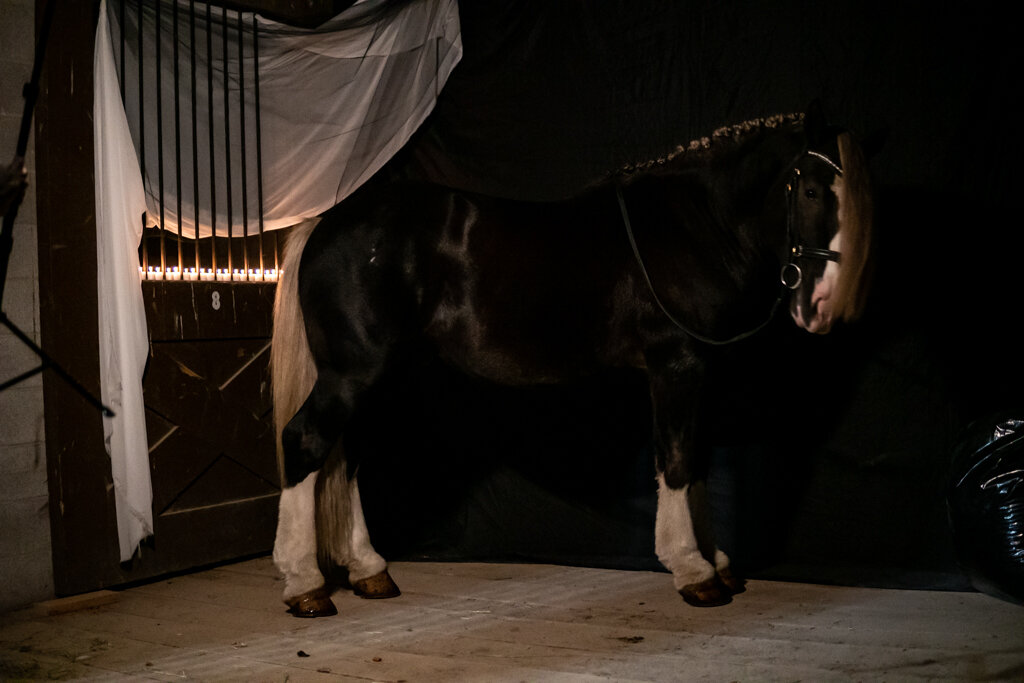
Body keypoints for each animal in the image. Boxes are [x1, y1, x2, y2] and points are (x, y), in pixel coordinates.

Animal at [269, 106, 874, 617]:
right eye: (812, 189)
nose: (823, 306)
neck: (692, 227)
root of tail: (330, 221)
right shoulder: (676, 366)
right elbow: (677, 462)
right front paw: (694, 571)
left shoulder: (701, 375)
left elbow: (696, 460)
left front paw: (717, 563)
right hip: (352, 373)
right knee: (306, 442)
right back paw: (305, 585)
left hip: (375, 377)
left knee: (347, 456)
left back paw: (369, 570)